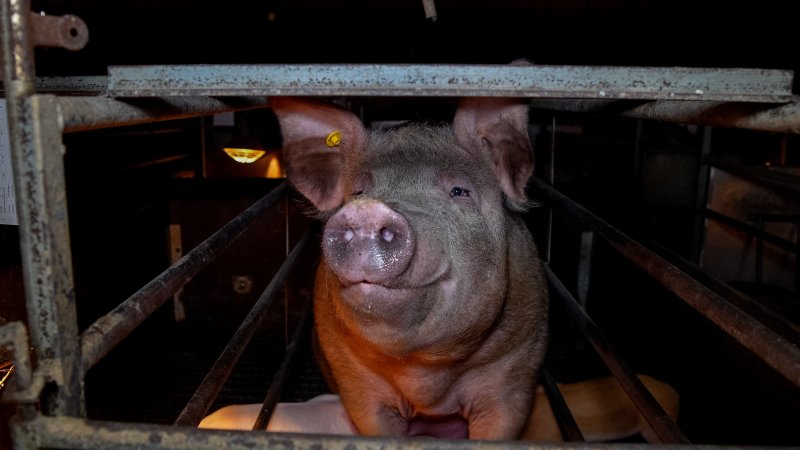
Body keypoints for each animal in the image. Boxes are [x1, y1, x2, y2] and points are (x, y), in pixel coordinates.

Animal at [268, 96, 552, 440]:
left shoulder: (518, 365)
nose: (367, 211)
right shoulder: (355, 378)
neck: (424, 373)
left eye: (459, 191)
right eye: (358, 192)